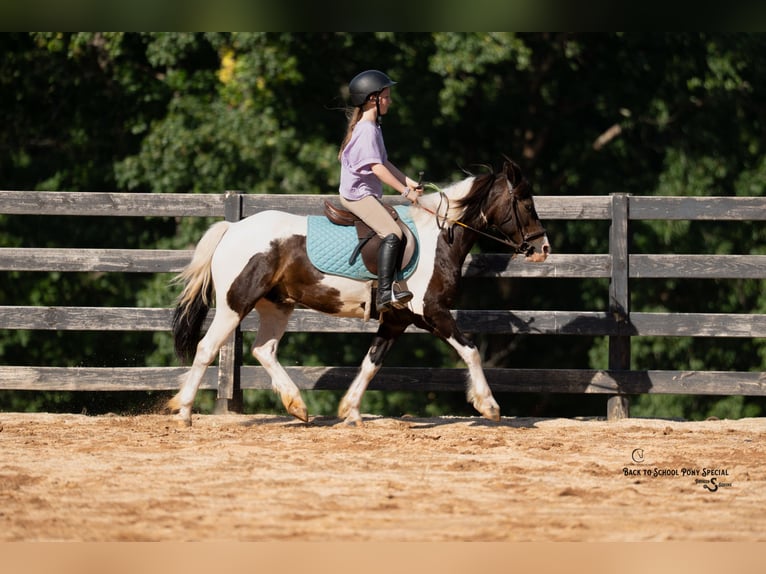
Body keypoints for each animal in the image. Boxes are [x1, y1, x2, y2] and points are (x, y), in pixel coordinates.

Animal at [167, 158, 550, 426]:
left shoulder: (396, 320)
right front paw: (489, 405)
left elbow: (372, 362)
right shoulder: (433, 313)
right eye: (525, 203)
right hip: (235, 305)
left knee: (264, 350)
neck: (440, 237)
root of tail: (233, 228)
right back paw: (184, 412)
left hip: (277, 306)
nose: (543, 248)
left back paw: (298, 406)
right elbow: (470, 351)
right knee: (207, 348)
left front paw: (349, 410)